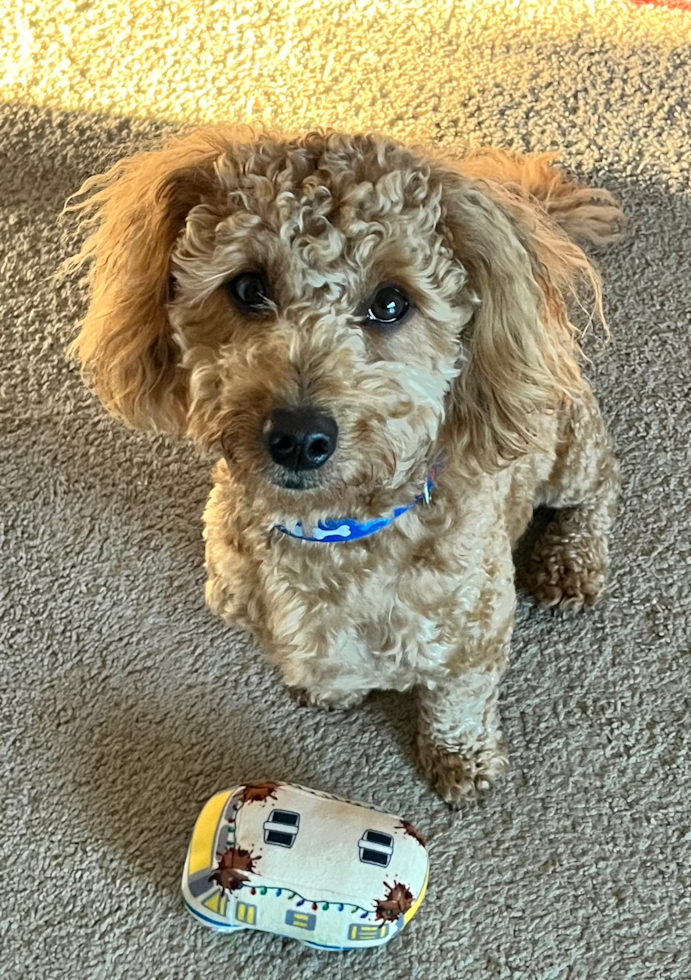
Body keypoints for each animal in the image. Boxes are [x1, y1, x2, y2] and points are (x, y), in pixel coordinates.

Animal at [67, 128, 624, 804]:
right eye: (247, 287)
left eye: (391, 303)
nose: (299, 437)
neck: (335, 532)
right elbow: (332, 667)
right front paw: (332, 691)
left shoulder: (476, 640)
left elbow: (457, 704)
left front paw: (460, 761)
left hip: (565, 446)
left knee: (600, 486)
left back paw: (570, 561)